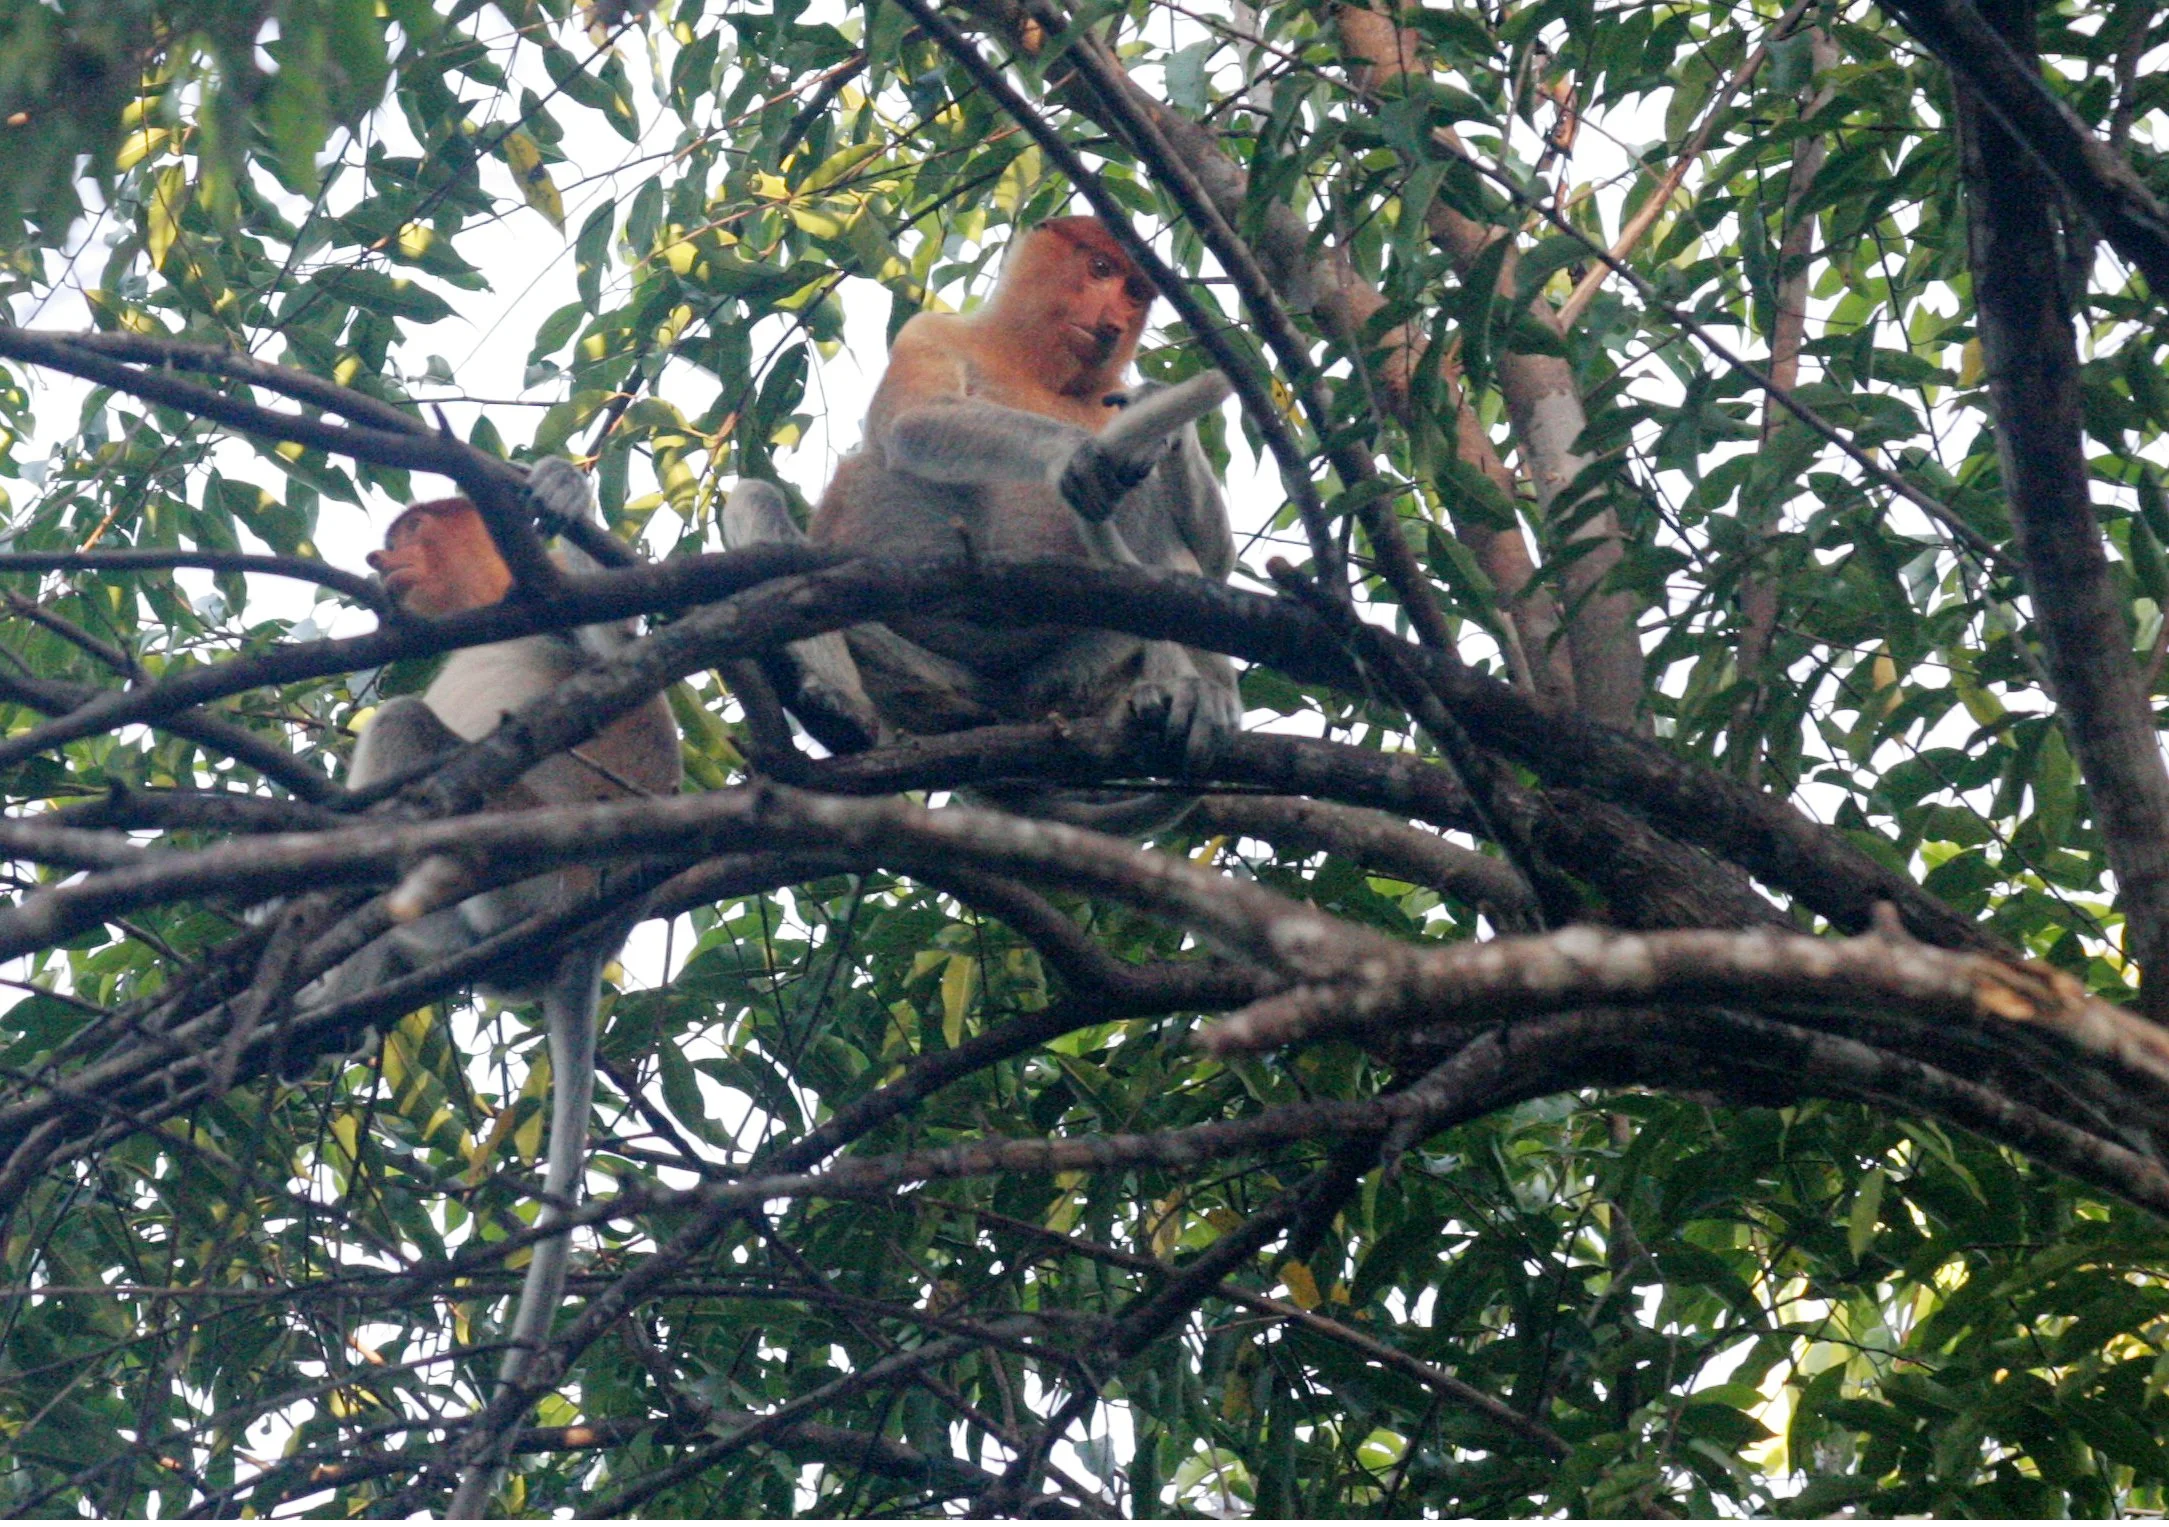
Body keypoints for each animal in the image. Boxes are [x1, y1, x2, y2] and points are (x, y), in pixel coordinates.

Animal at [317, 459, 679, 1516]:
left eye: (409, 527)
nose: (377, 556)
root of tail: (592, 933)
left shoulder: (557, 608)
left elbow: (620, 649)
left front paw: (563, 490)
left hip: (528, 866)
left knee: (407, 731)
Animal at [722, 216, 1241, 833]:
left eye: (1136, 293)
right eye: (1100, 269)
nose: (1115, 324)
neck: (1034, 365)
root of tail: (1004, 706)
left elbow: (1216, 560)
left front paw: (1159, 415)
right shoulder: (929, 332)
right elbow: (914, 420)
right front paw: (1079, 456)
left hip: (1078, 673)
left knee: (1162, 535)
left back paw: (1186, 696)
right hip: (913, 669)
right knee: (756, 500)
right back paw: (837, 710)